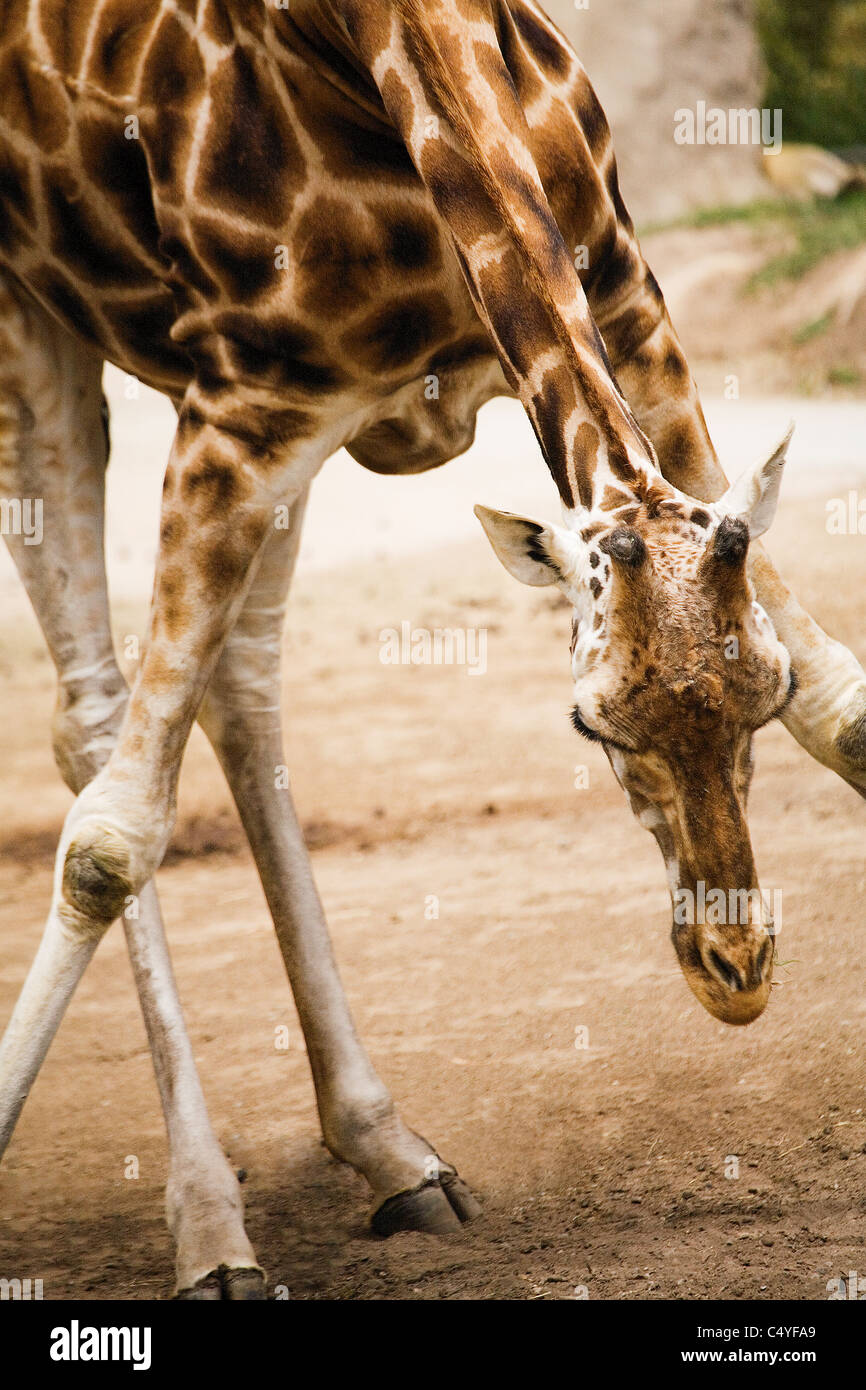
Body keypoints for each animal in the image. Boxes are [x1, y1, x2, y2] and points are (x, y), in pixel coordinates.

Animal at [0, 2, 861, 1301]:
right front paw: (201, 1227)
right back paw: (212, 1226)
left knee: (240, 683)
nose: (734, 975)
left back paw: (387, 1148)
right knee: (96, 721)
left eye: (757, 698)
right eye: (584, 724)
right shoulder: (243, 408)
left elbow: (841, 709)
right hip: (38, 319)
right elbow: (112, 838)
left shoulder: (623, 296)